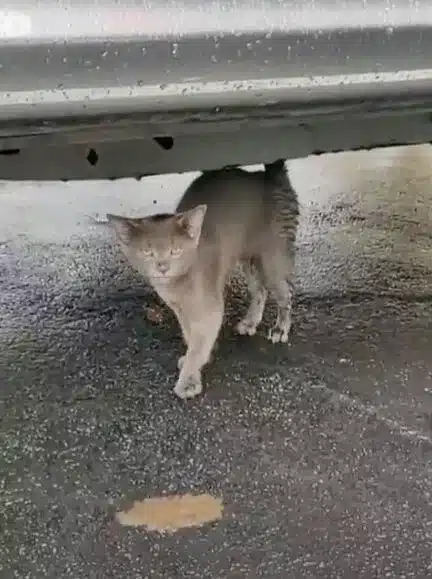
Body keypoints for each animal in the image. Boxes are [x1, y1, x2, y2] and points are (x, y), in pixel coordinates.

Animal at [106, 161, 298, 402]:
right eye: (147, 252)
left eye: (175, 250)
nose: (162, 267)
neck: (178, 285)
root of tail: (267, 177)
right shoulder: (179, 308)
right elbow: (190, 334)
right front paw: (194, 357)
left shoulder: (209, 306)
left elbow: (200, 340)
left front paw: (189, 378)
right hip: (248, 257)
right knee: (259, 290)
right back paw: (250, 321)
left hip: (272, 255)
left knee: (285, 292)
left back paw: (281, 328)